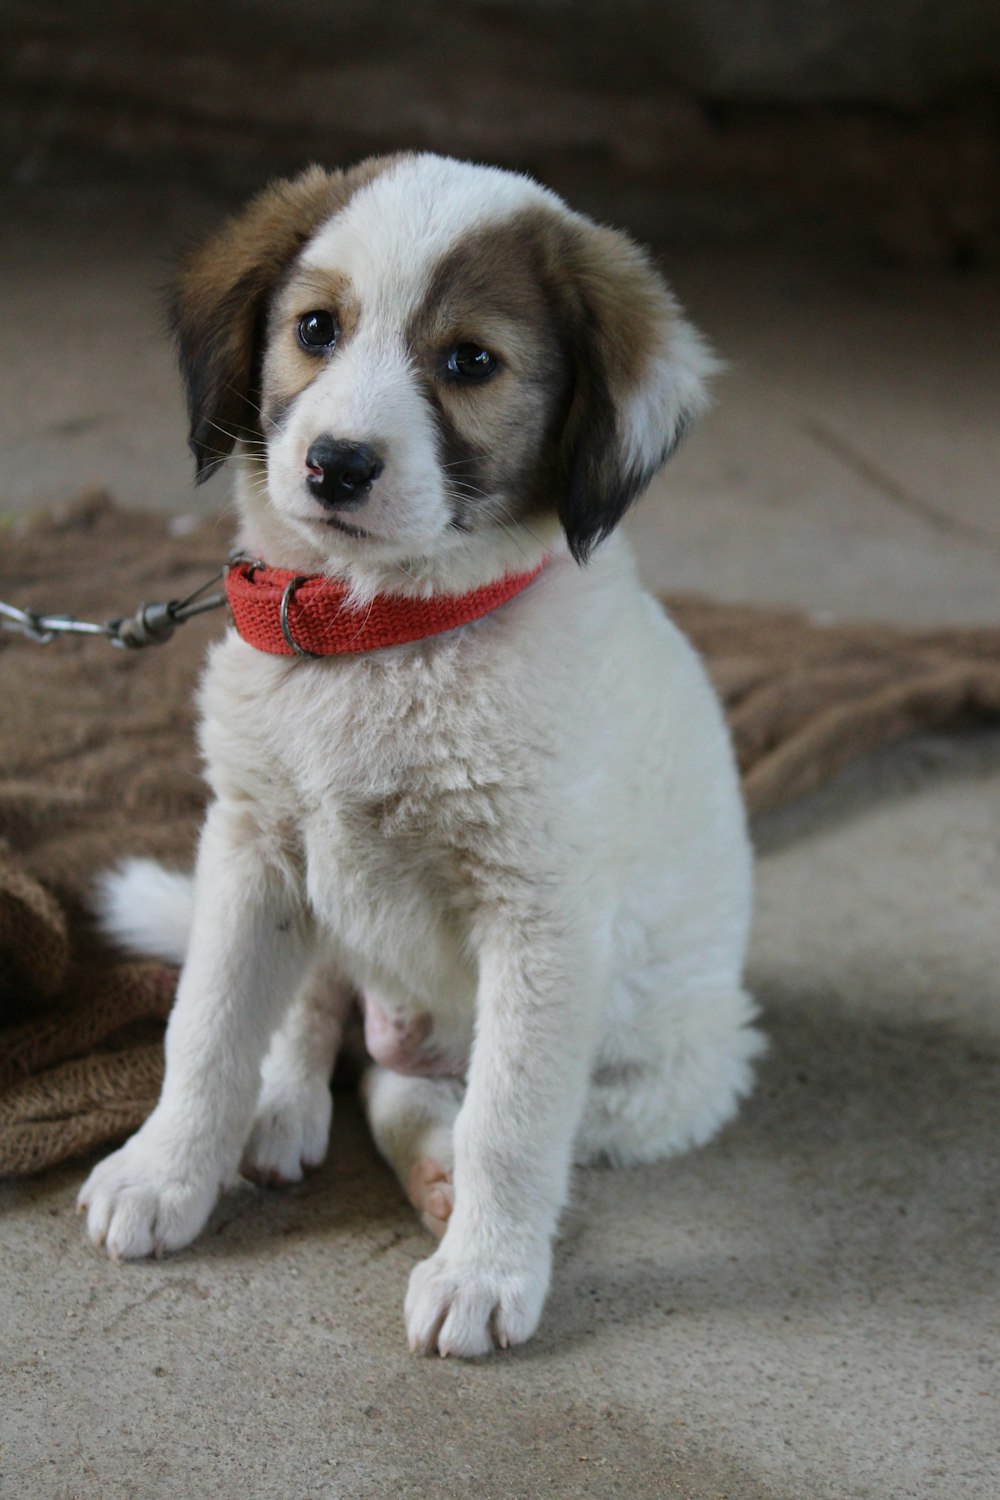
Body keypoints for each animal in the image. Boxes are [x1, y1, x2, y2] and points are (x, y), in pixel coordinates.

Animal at [80, 155, 767, 1362]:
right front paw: (164, 1174)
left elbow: (511, 1116)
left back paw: (441, 1182)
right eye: (315, 329)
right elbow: (205, 1030)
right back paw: (283, 1105)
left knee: (427, 1090)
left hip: (673, 1066)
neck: (379, 634)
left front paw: (486, 1272)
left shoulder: (541, 922)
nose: (336, 465)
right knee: (327, 1026)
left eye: (469, 362)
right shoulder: (253, 847)